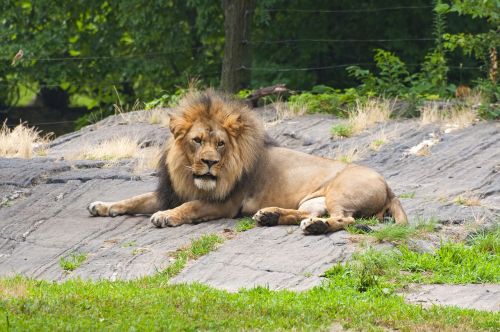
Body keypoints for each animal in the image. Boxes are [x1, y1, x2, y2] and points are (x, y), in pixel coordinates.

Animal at [87, 88, 406, 233]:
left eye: (220, 144)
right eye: (197, 140)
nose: (210, 163)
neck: (188, 173)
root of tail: (390, 187)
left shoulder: (226, 203)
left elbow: (190, 207)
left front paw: (166, 216)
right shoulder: (170, 191)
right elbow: (134, 199)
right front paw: (101, 205)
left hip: (340, 192)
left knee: (344, 219)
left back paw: (314, 228)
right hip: (313, 200)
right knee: (310, 213)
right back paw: (270, 216)